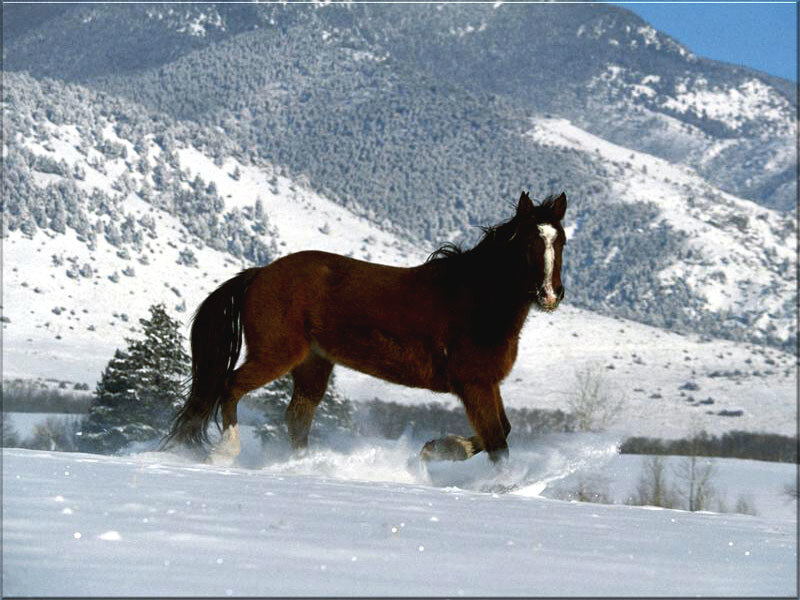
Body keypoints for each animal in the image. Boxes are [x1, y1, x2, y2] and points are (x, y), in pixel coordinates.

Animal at [164, 191, 567, 463]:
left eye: (560, 241)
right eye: (528, 243)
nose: (550, 295)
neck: (476, 298)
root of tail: (259, 274)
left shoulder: (486, 383)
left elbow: (501, 433)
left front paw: (436, 449)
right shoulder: (474, 383)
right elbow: (499, 443)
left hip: (313, 363)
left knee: (297, 417)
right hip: (277, 353)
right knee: (231, 387)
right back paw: (227, 450)